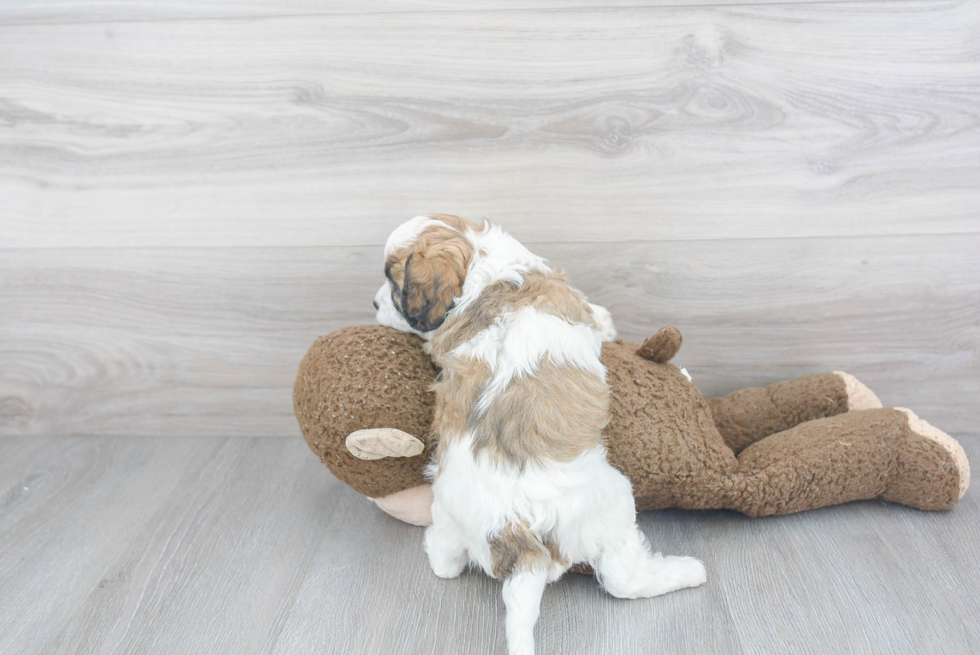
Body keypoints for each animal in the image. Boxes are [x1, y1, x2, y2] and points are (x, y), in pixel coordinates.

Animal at [376, 215, 704, 655]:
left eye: (394, 286)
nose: (374, 304)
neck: (487, 272)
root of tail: (515, 533)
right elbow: (594, 314)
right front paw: (607, 321)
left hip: (447, 511)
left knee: (445, 563)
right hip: (615, 502)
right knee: (623, 580)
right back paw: (686, 572)